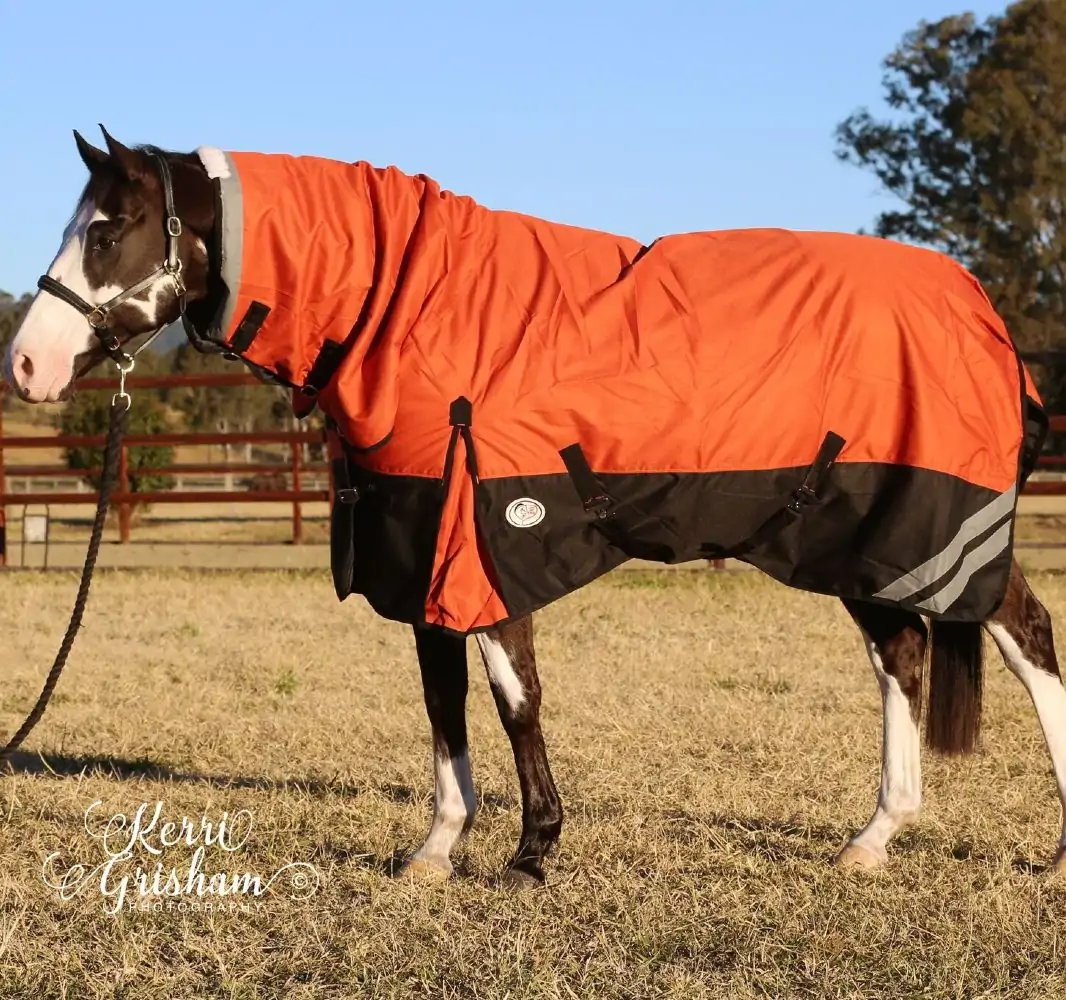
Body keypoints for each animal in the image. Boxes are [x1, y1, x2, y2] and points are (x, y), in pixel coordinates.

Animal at [5, 128, 1066, 887]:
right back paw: (874, 837)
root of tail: (980, 304)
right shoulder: (422, 549)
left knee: (1025, 635)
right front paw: (438, 851)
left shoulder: (487, 540)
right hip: (863, 543)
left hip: (935, 526)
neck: (410, 310)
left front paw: (532, 850)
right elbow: (442, 704)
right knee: (903, 659)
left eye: (105, 231)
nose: (26, 364)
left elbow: (515, 701)